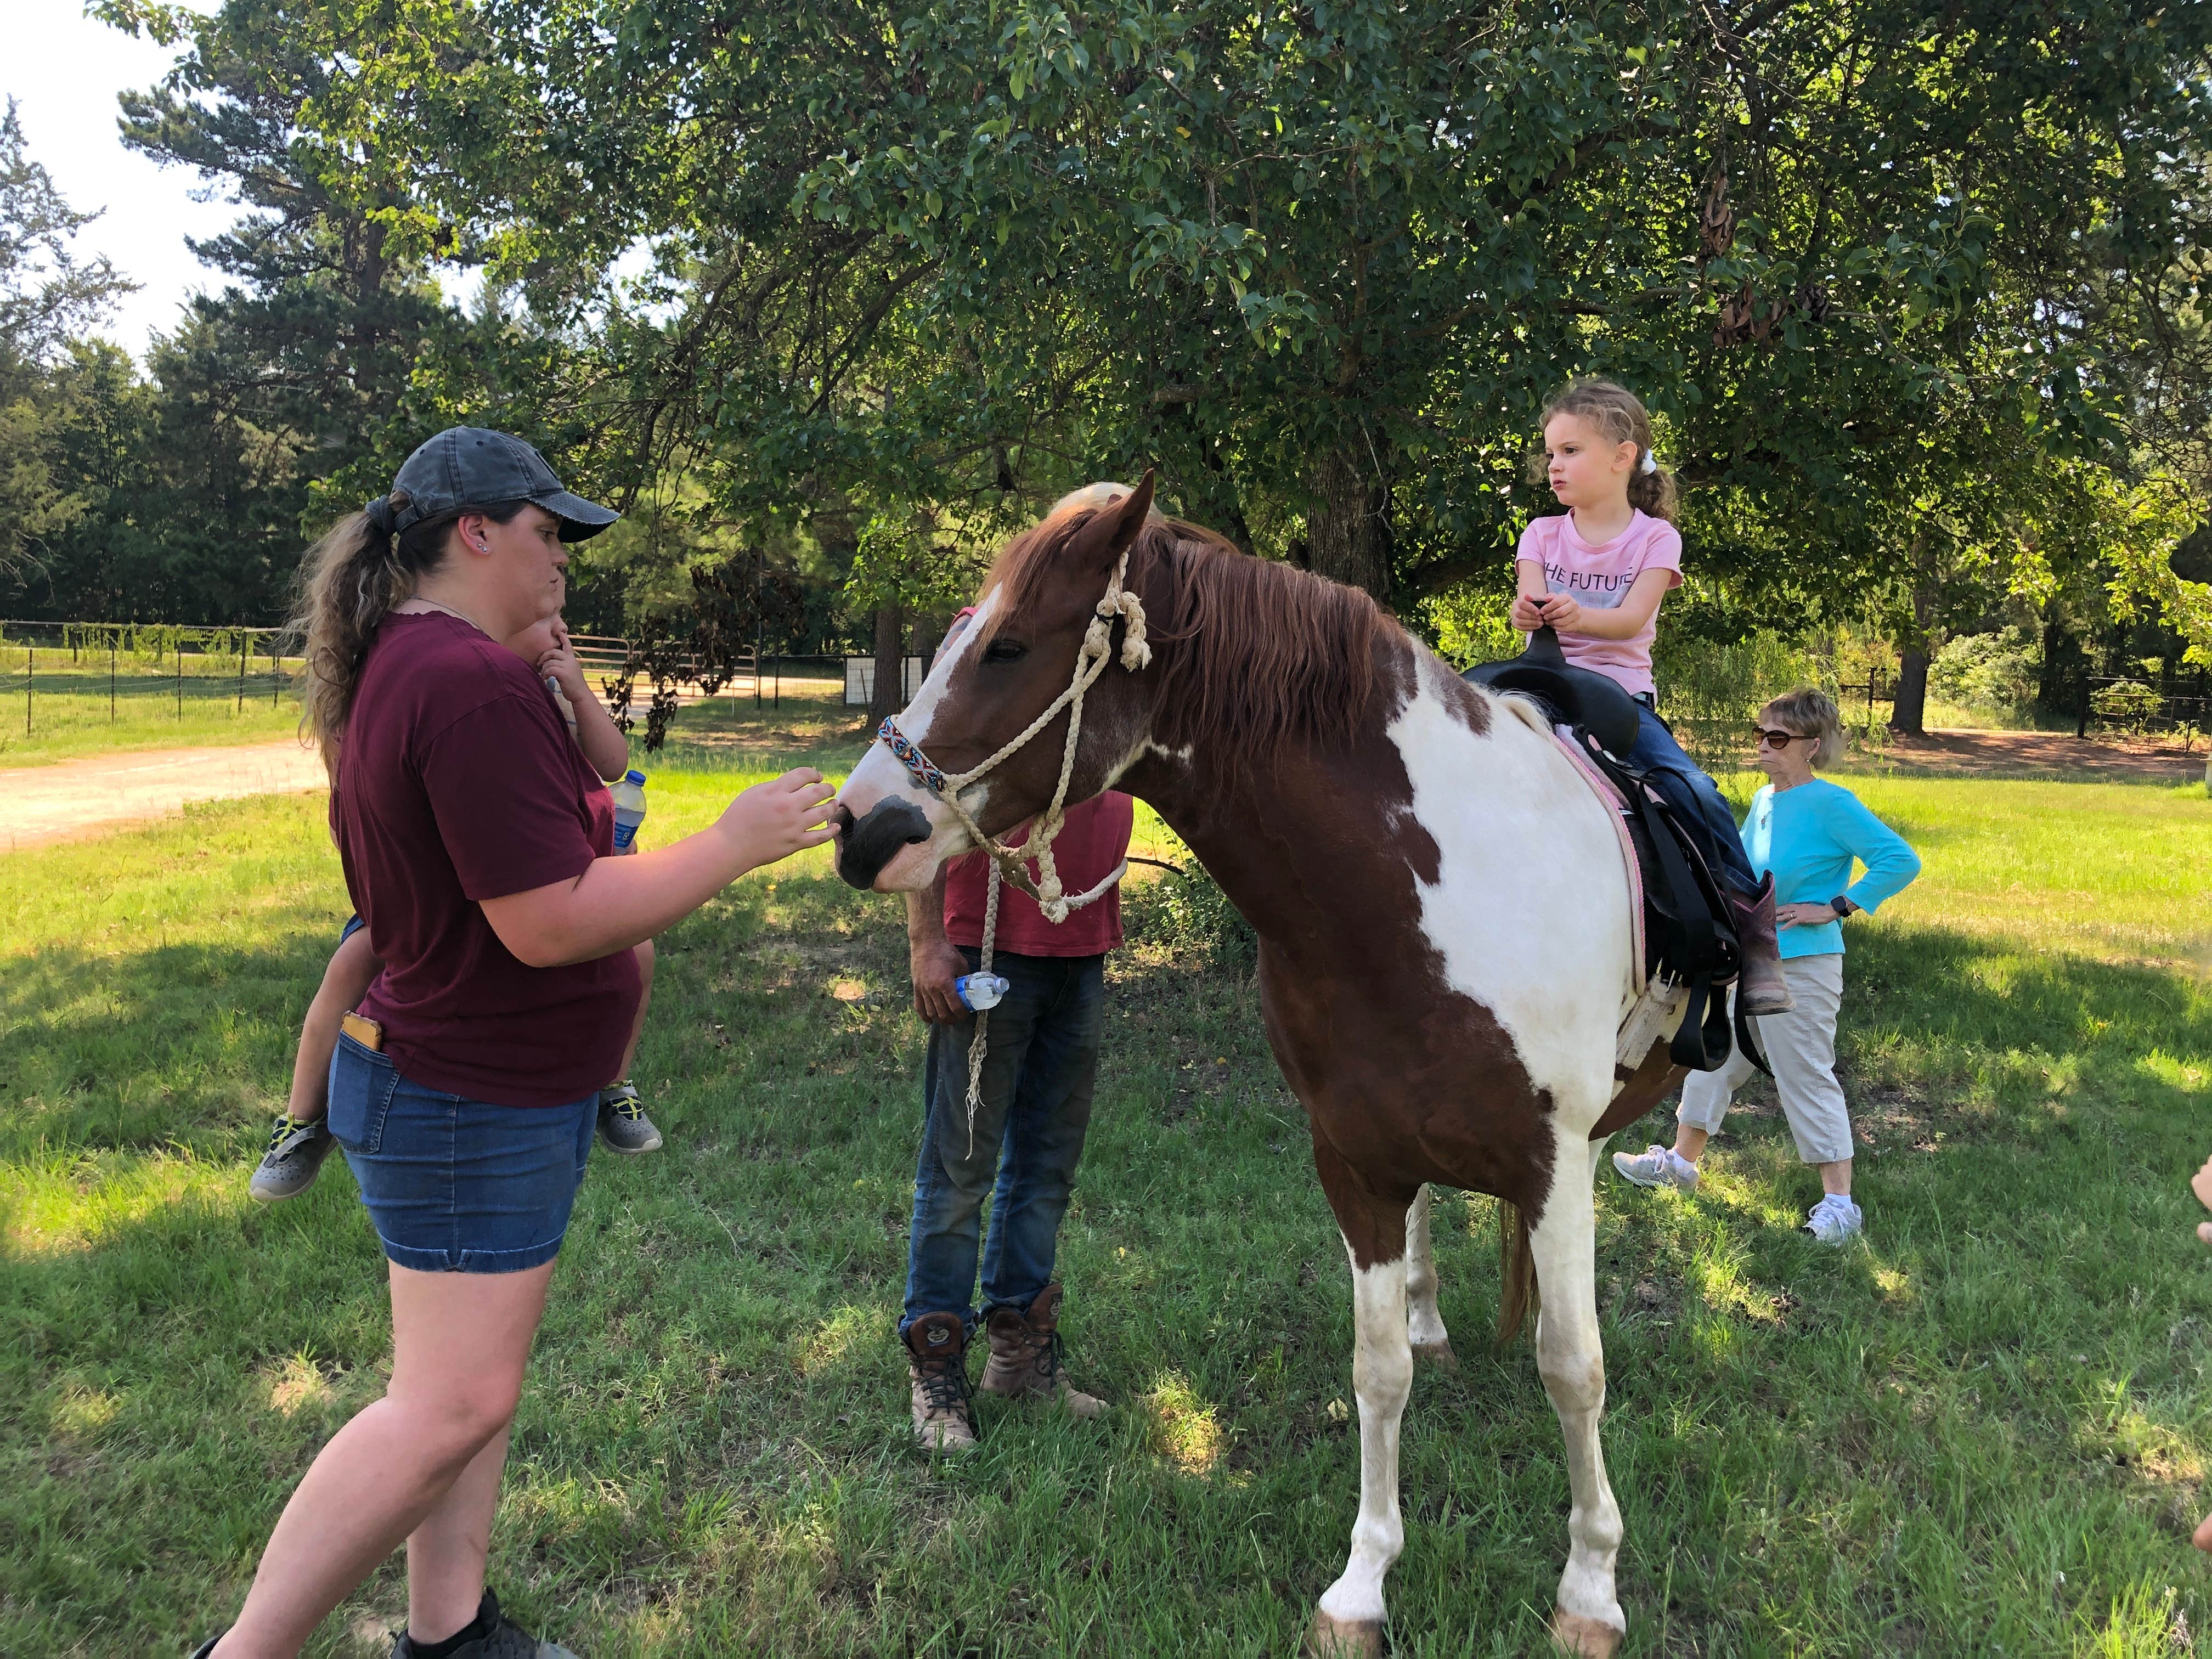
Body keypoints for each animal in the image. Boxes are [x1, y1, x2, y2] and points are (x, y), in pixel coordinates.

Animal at [836, 473, 1681, 1654]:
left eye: (1005, 646)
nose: (858, 827)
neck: (1438, 884)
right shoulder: (1355, 1159)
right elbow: (1378, 1368)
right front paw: (1363, 1584)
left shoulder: (1554, 1163)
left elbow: (1575, 1367)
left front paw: (1591, 1589)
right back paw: (1432, 1318)